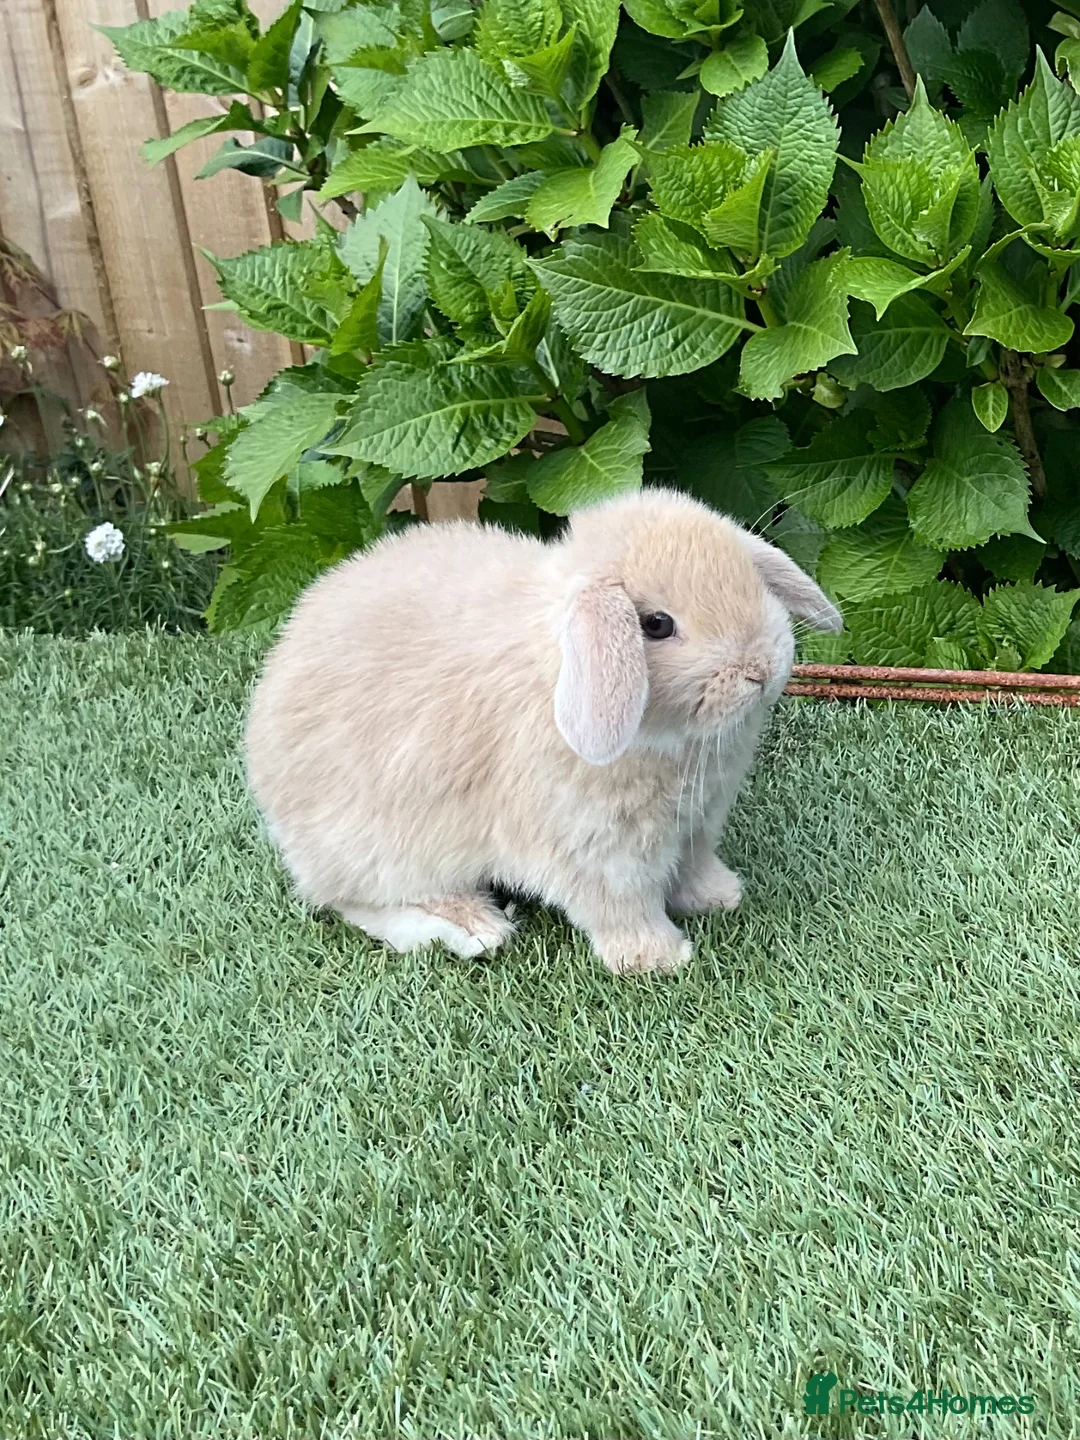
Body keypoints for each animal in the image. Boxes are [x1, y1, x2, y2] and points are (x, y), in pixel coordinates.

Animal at [244, 486, 841, 976]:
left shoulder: (695, 824)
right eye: (656, 625)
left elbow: (692, 869)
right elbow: (621, 907)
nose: (761, 669)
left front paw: (720, 897)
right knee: (353, 901)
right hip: (382, 851)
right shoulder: (599, 852)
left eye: (753, 582)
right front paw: (657, 959)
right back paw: (475, 927)